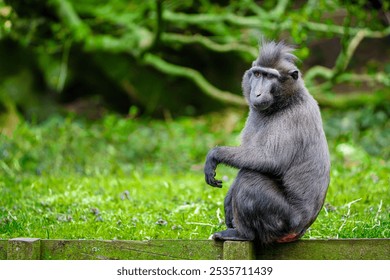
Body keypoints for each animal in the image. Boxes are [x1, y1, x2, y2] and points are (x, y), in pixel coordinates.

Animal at [206, 39, 330, 245]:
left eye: (270, 77)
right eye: (258, 74)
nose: (257, 94)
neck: (286, 101)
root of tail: (301, 229)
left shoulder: (293, 118)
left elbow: (270, 160)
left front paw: (214, 155)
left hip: (282, 220)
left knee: (250, 177)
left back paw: (243, 234)